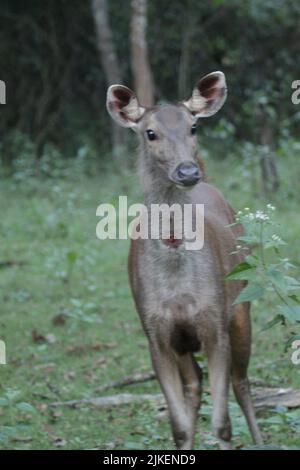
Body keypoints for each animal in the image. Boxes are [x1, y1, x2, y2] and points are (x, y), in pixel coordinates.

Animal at [106, 71, 262, 450]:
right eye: (150, 132)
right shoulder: (156, 332)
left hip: (241, 307)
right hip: (183, 343)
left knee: (242, 383)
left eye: (193, 127)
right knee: (195, 384)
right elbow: (177, 426)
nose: (188, 171)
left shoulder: (215, 323)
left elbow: (222, 423)